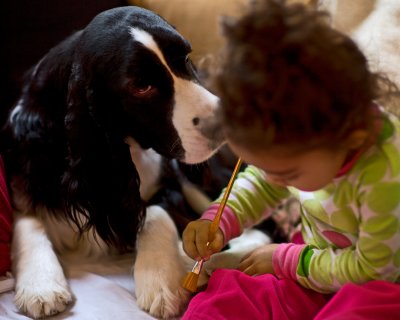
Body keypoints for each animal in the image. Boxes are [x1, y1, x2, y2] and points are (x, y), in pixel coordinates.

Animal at [0, 6, 233, 318]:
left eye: (185, 59)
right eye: (142, 87)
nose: (223, 123)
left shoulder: (167, 184)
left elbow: (154, 212)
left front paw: (159, 282)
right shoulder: (25, 180)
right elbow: (27, 220)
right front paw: (41, 286)